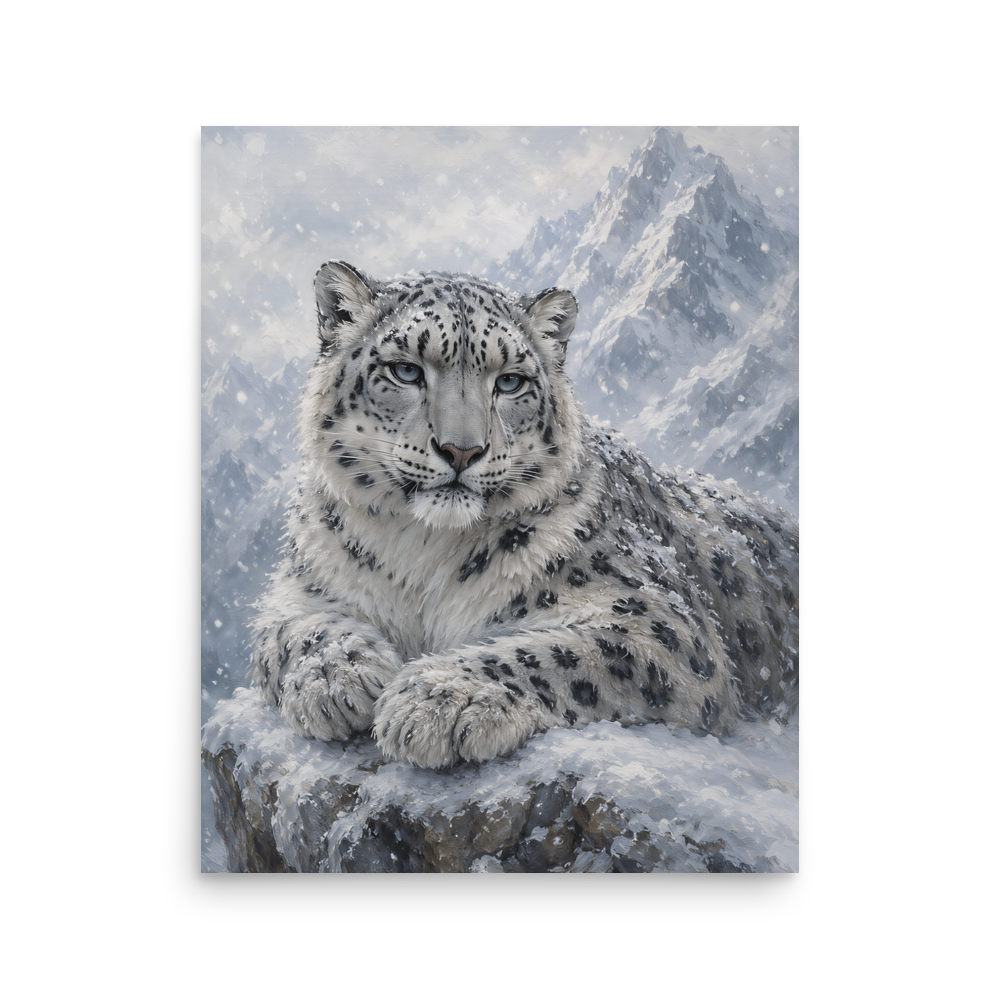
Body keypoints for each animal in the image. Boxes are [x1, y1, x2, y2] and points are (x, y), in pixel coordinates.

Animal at [250, 260, 799, 769]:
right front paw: (337, 678)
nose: (462, 450)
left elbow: (557, 652)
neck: (419, 552)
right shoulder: (301, 588)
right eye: (406, 370)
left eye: (510, 382)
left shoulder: (660, 623)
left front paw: (438, 699)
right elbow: (292, 631)